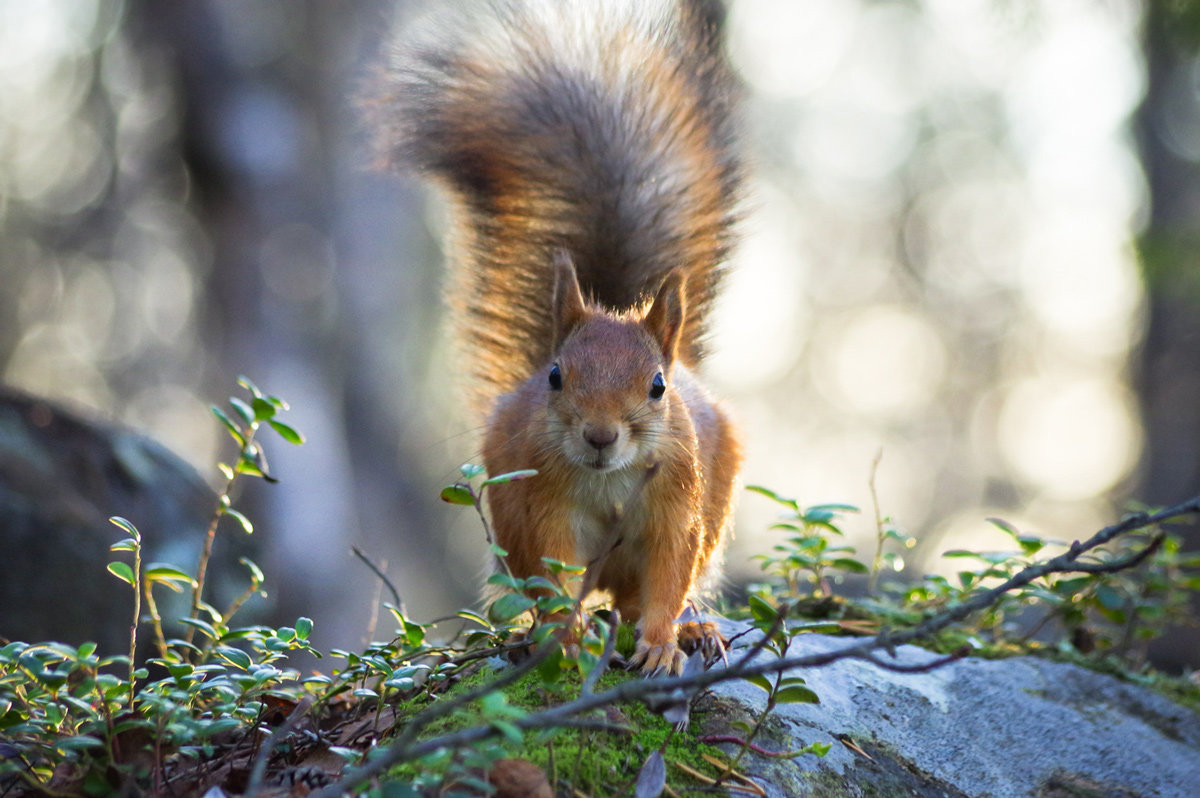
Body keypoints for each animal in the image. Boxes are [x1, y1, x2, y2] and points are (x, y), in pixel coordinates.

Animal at [379, 0, 744, 672]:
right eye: (556, 375)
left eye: (658, 386)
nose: (599, 436)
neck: (610, 479)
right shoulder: (548, 503)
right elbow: (555, 575)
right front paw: (561, 638)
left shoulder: (678, 508)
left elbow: (668, 576)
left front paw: (661, 643)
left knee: (641, 597)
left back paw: (694, 629)